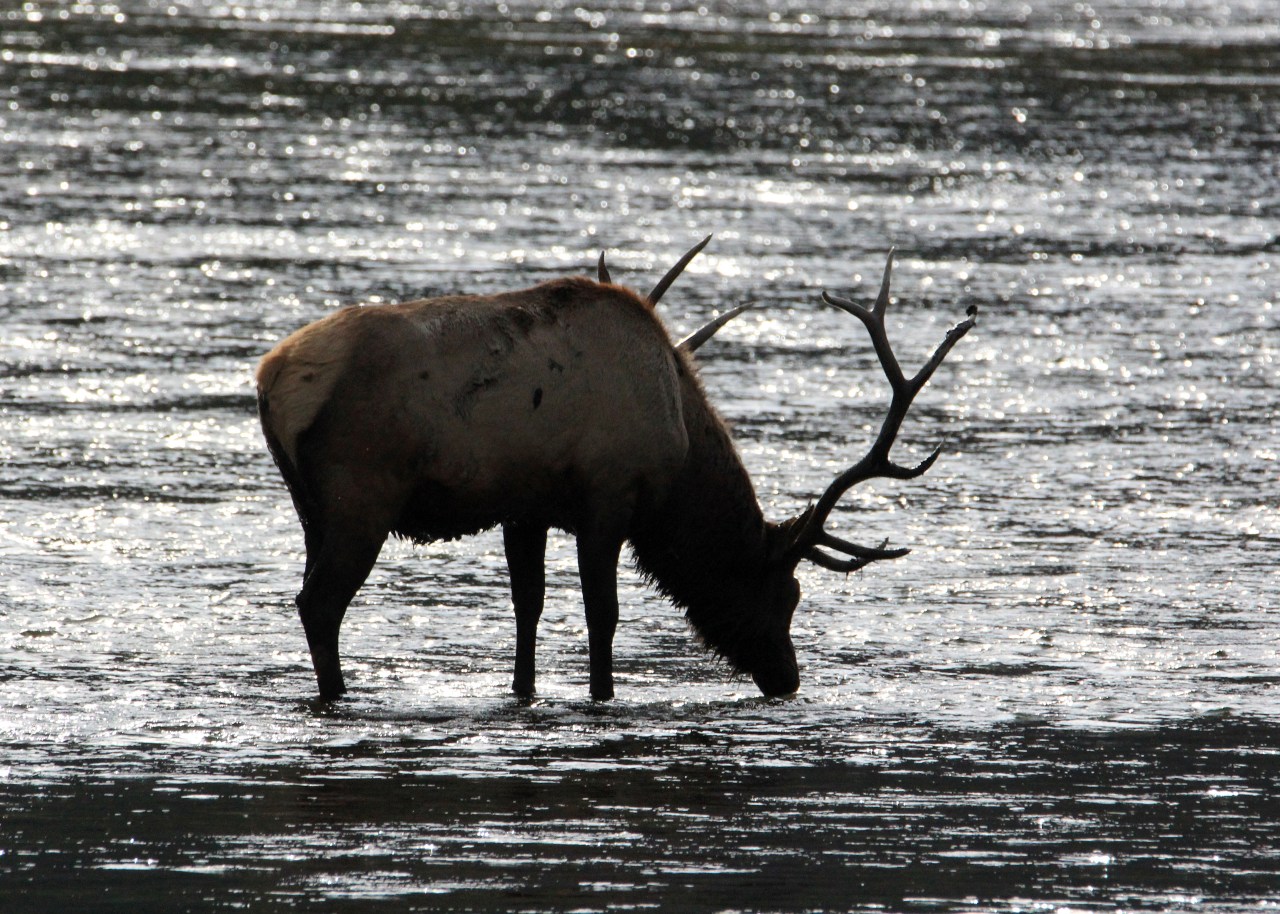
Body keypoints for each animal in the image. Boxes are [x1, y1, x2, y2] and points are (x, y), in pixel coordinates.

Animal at [255, 237, 976, 702]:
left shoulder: (527, 507)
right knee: (319, 604)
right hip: (362, 496)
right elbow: (603, 613)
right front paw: (602, 694)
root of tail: (270, 379)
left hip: (311, 508)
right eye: (787, 594)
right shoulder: (607, 497)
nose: (787, 677)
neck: (679, 452)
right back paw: (338, 695)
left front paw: (525, 690)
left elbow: (528, 607)